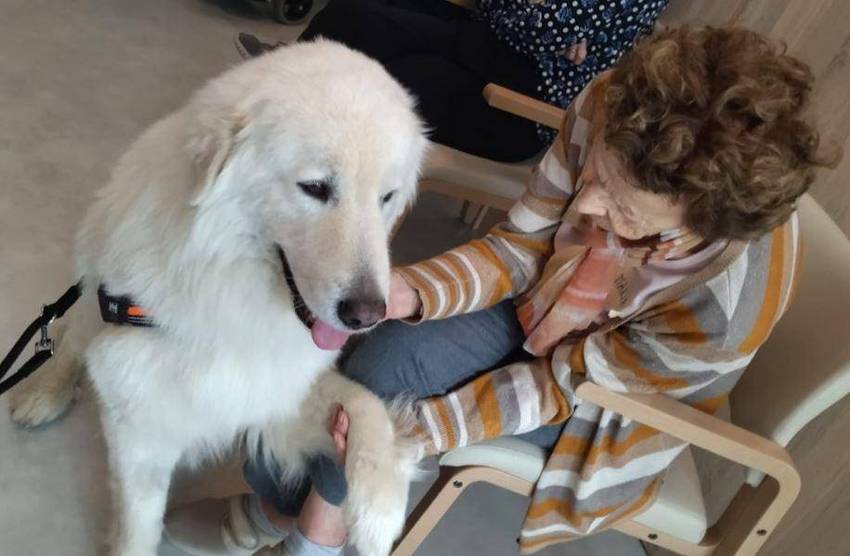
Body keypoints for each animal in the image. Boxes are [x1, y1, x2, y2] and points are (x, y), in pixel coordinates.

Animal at [8, 39, 428, 556]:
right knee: (68, 339)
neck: (229, 293)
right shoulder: (142, 432)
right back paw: (43, 394)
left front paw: (378, 511)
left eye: (387, 197)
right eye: (315, 187)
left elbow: (364, 402)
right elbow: (137, 531)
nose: (367, 314)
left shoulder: (270, 393)